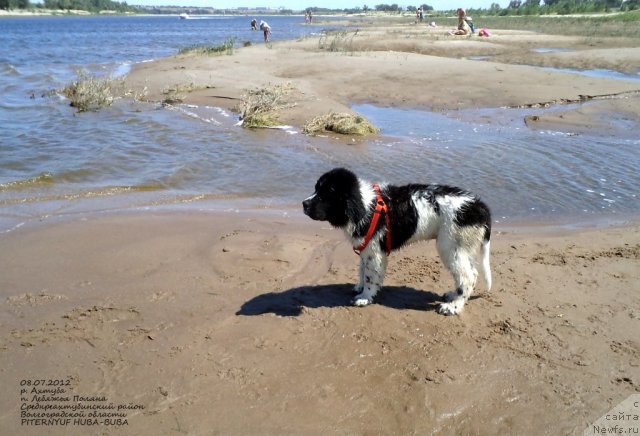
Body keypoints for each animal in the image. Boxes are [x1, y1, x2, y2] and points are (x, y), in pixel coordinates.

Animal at [302, 168, 492, 316]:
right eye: (316, 189)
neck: (364, 205)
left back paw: (453, 307)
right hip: (461, 247)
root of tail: (480, 207)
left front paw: (365, 297)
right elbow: (362, 270)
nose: (304, 204)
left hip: (450, 246)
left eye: (326, 194)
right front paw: (360, 288)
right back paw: (453, 296)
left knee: (467, 277)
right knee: (472, 274)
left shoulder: (374, 251)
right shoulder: (366, 248)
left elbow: (370, 276)